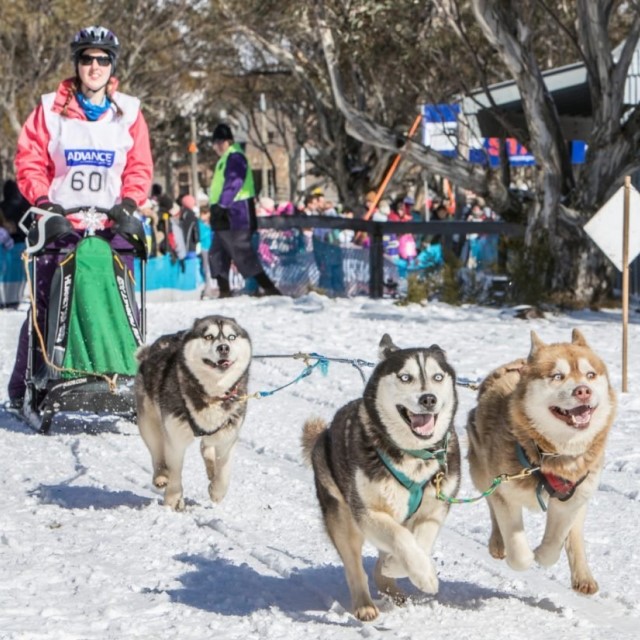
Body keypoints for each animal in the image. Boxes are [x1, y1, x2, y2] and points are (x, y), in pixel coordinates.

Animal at [135, 315, 252, 511]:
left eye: (232, 337)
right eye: (209, 336)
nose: (224, 347)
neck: (212, 394)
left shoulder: (228, 436)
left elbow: (224, 472)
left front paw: (217, 490)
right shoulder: (175, 437)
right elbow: (175, 469)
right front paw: (173, 499)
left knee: (206, 446)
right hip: (148, 422)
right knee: (157, 451)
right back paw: (160, 475)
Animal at [302, 334, 461, 621]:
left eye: (438, 376)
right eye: (406, 377)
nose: (428, 399)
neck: (413, 455)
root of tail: (323, 435)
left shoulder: (435, 509)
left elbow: (421, 542)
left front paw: (400, 567)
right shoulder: (367, 512)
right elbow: (401, 538)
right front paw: (423, 575)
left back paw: (390, 583)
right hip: (343, 519)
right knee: (355, 567)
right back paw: (364, 604)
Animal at [466, 329, 616, 594]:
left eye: (590, 375)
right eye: (558, 376)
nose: (583, 390)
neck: (550, 454)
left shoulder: (570, 498)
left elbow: (555, 543)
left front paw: (543, 554)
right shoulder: (505, 490)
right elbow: (519, 553)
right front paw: (524, 554)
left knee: (575, 533)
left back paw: (583, 576)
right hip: (482, 473)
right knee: (491, 505)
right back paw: (498, 542)